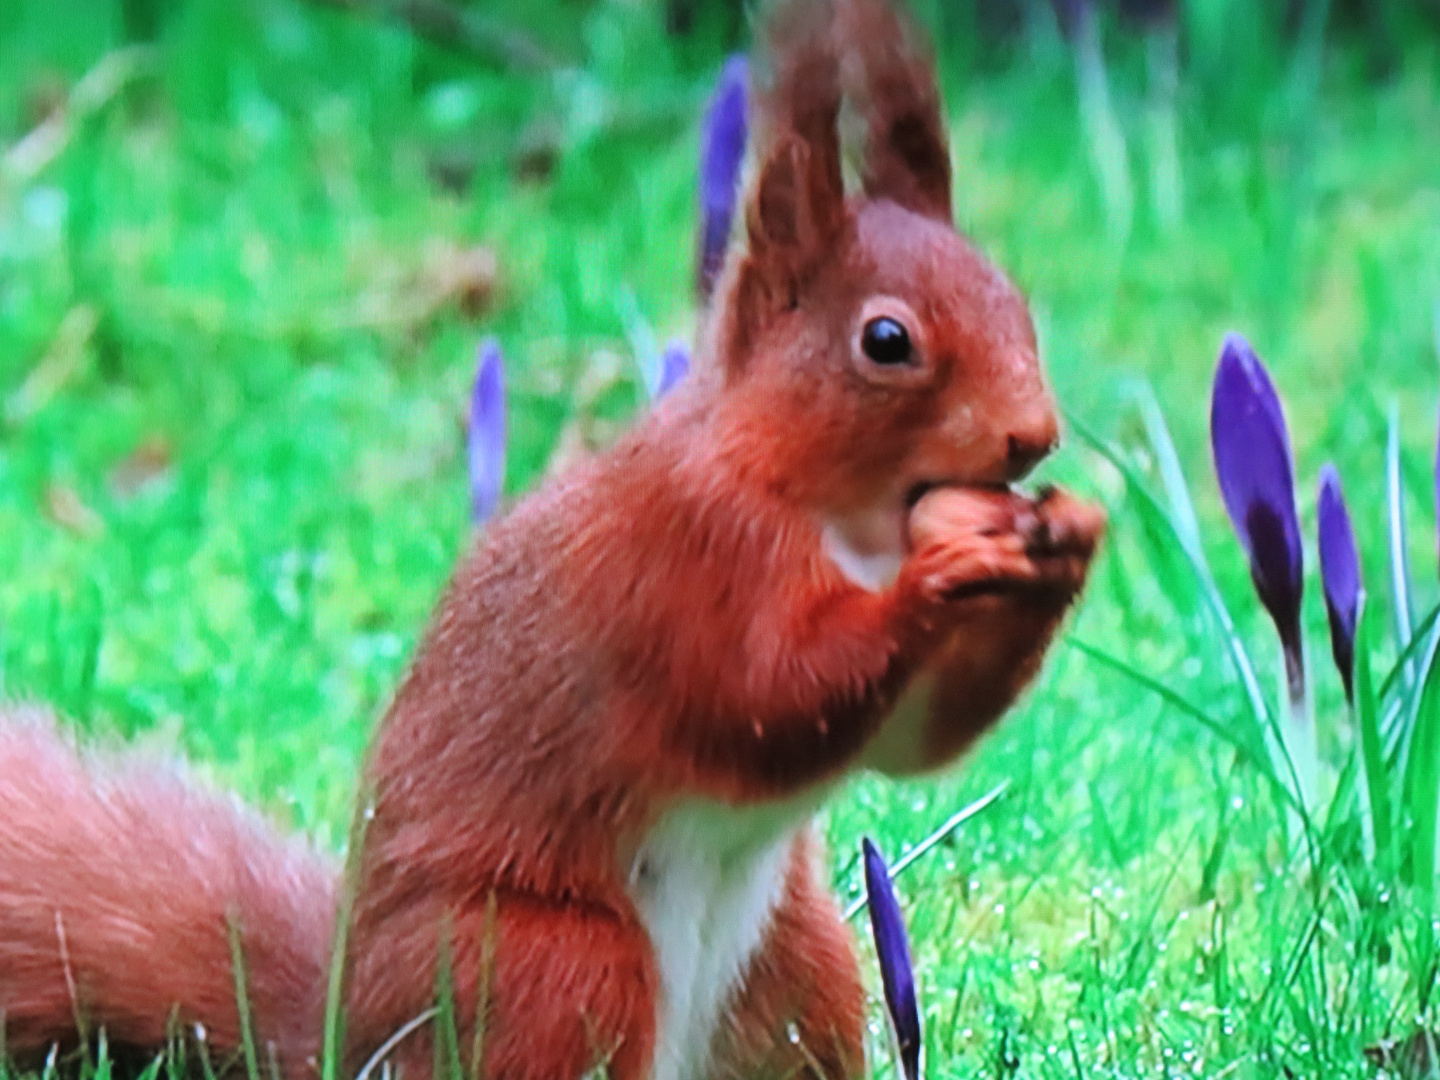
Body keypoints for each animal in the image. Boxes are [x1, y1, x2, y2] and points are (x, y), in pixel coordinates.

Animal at [0, 2, 1100, 1080]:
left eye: (1015, 302)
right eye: (886, 341)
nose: (1034, 434)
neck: (842, 515)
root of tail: (349, 1035)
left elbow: (918, 744)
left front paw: (1068, 547)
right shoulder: (683, 561)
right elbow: (762, 695)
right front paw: (939, 577)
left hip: (802, 966)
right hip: (553, 963)